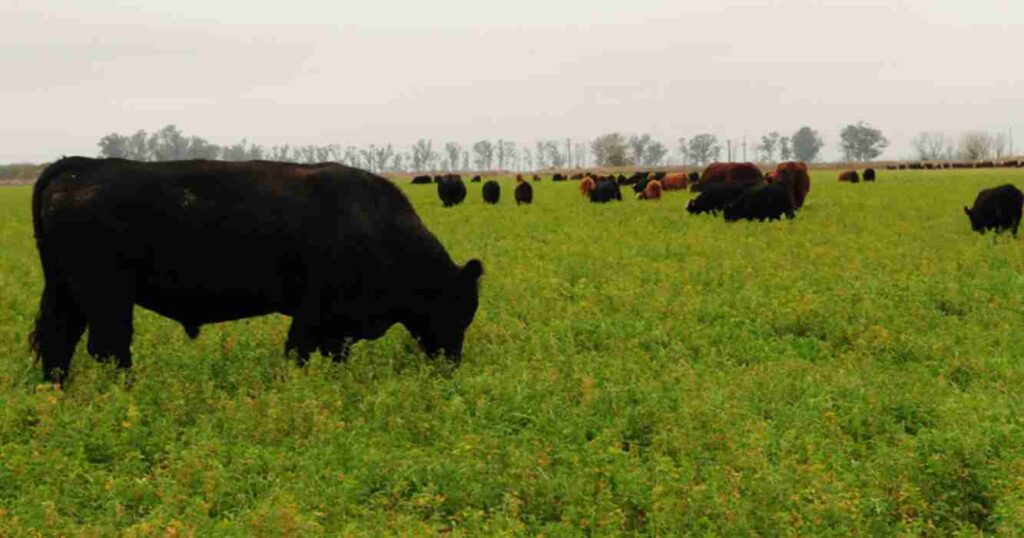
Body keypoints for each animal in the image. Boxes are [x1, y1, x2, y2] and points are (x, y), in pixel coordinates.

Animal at [28, 154, 483, 381]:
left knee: (57, 340)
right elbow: (299, 351)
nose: (451, 364)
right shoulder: (317, 314)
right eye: (459, 306)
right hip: (108, 297)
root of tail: (80, 166)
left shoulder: (335, 325)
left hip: (67, 291)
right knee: (108, 346)